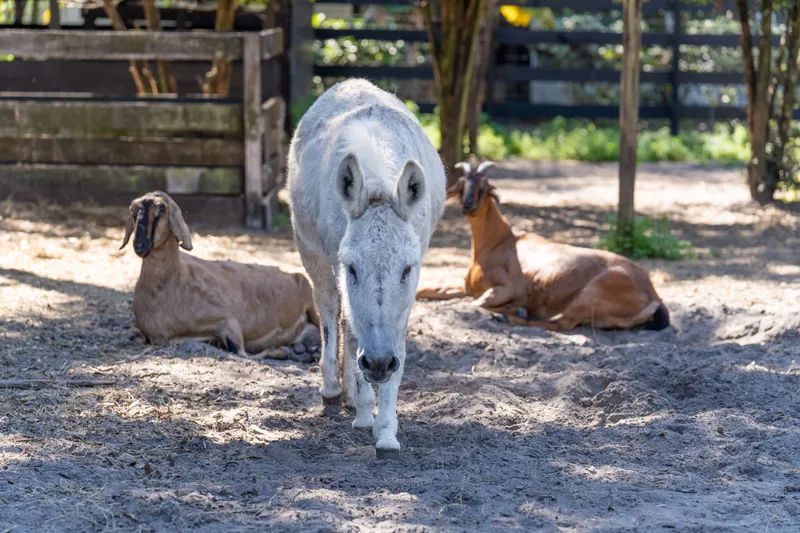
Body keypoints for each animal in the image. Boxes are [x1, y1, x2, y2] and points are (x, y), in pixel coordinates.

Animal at [121, 191, 320, 359]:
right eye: (134, 212)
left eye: (161, 210)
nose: (140, 245)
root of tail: (295, 276)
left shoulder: (227, 320)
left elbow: (241, 352)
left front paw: (279, 351)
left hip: (313, 305)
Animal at [287, 79, 446, 458]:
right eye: (353, 268)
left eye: (406, 269)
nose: (377, 364)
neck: (378, 187)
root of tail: (351, 83)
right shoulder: (337, 265)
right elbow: (351, 326)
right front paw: (363, 411)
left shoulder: (408, 291)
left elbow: (395, 345)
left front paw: (385, 430)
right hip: (313, 256)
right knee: (332, 313)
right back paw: (335, 391)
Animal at [416, 161, 670, 332]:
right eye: (462, 185)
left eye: (485, 186)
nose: (468, 205)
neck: (501, 241)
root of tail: (653, 294)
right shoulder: (467, 286)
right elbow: (426, 291)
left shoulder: (505, 288)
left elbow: (477, 303)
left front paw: (511, 309)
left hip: (591, 294)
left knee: (561, 323)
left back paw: (511, 316)